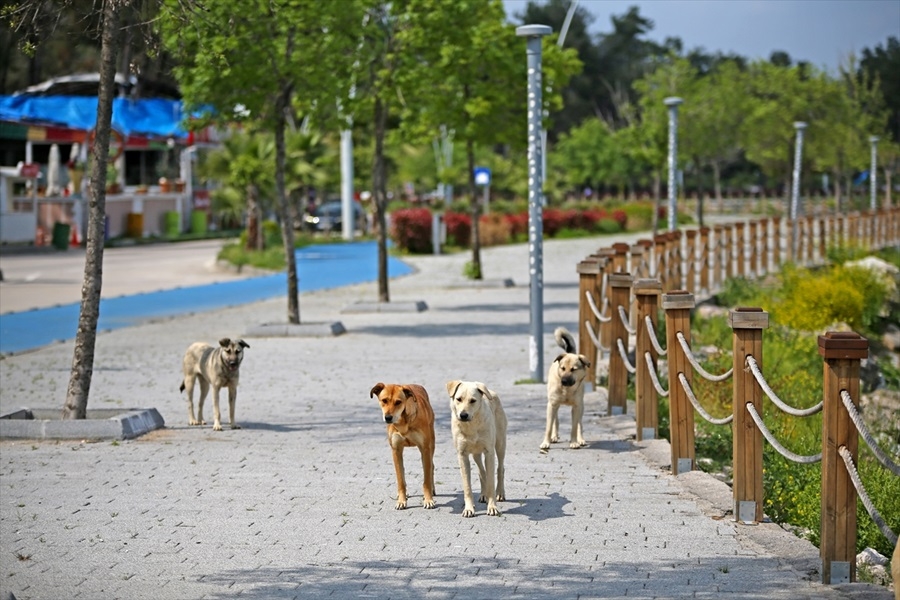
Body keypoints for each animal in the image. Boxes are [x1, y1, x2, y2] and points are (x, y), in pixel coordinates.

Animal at [444, 380, 506, 516]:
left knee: (500, 468)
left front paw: (492, 507)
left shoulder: (489, 452)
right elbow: (467, 486)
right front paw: (468, 509)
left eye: (473, 400)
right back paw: (483, 495)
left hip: (500, 444)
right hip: (476, 453)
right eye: (458, 399)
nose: (463, 415)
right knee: (481, 471)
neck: (470, 425)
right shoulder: (462, 454)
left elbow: (491, 481)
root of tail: (490, 391)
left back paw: (500, 493)